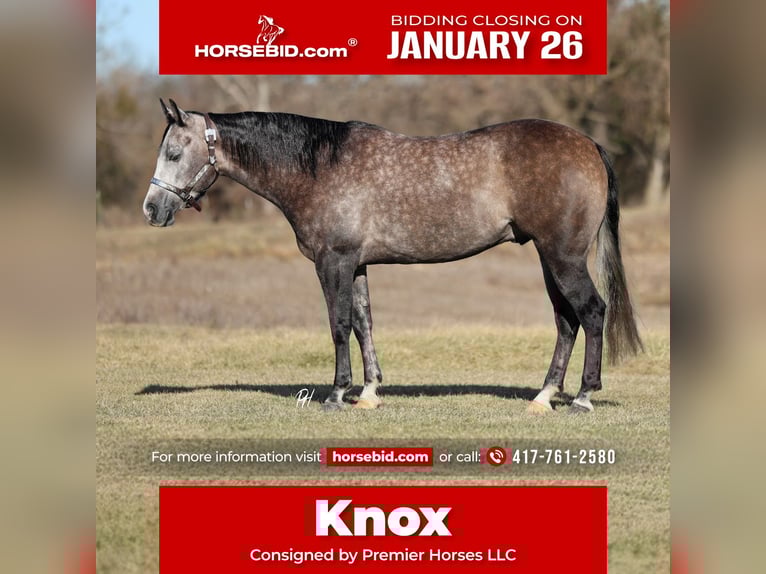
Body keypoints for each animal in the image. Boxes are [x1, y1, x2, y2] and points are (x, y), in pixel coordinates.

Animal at [144, 99, 643, 414]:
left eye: (174, 152)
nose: (152, 209)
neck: (317, 168)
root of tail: (588, 145)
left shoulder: (333, 262)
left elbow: (339, 324)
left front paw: (336, 394)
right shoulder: (357, 264)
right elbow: (364, 323)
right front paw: (368, 392)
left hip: (563, 256)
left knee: (591, 312)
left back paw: (582, 397)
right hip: (547, 256)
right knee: (566, 320)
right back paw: (543, 396)